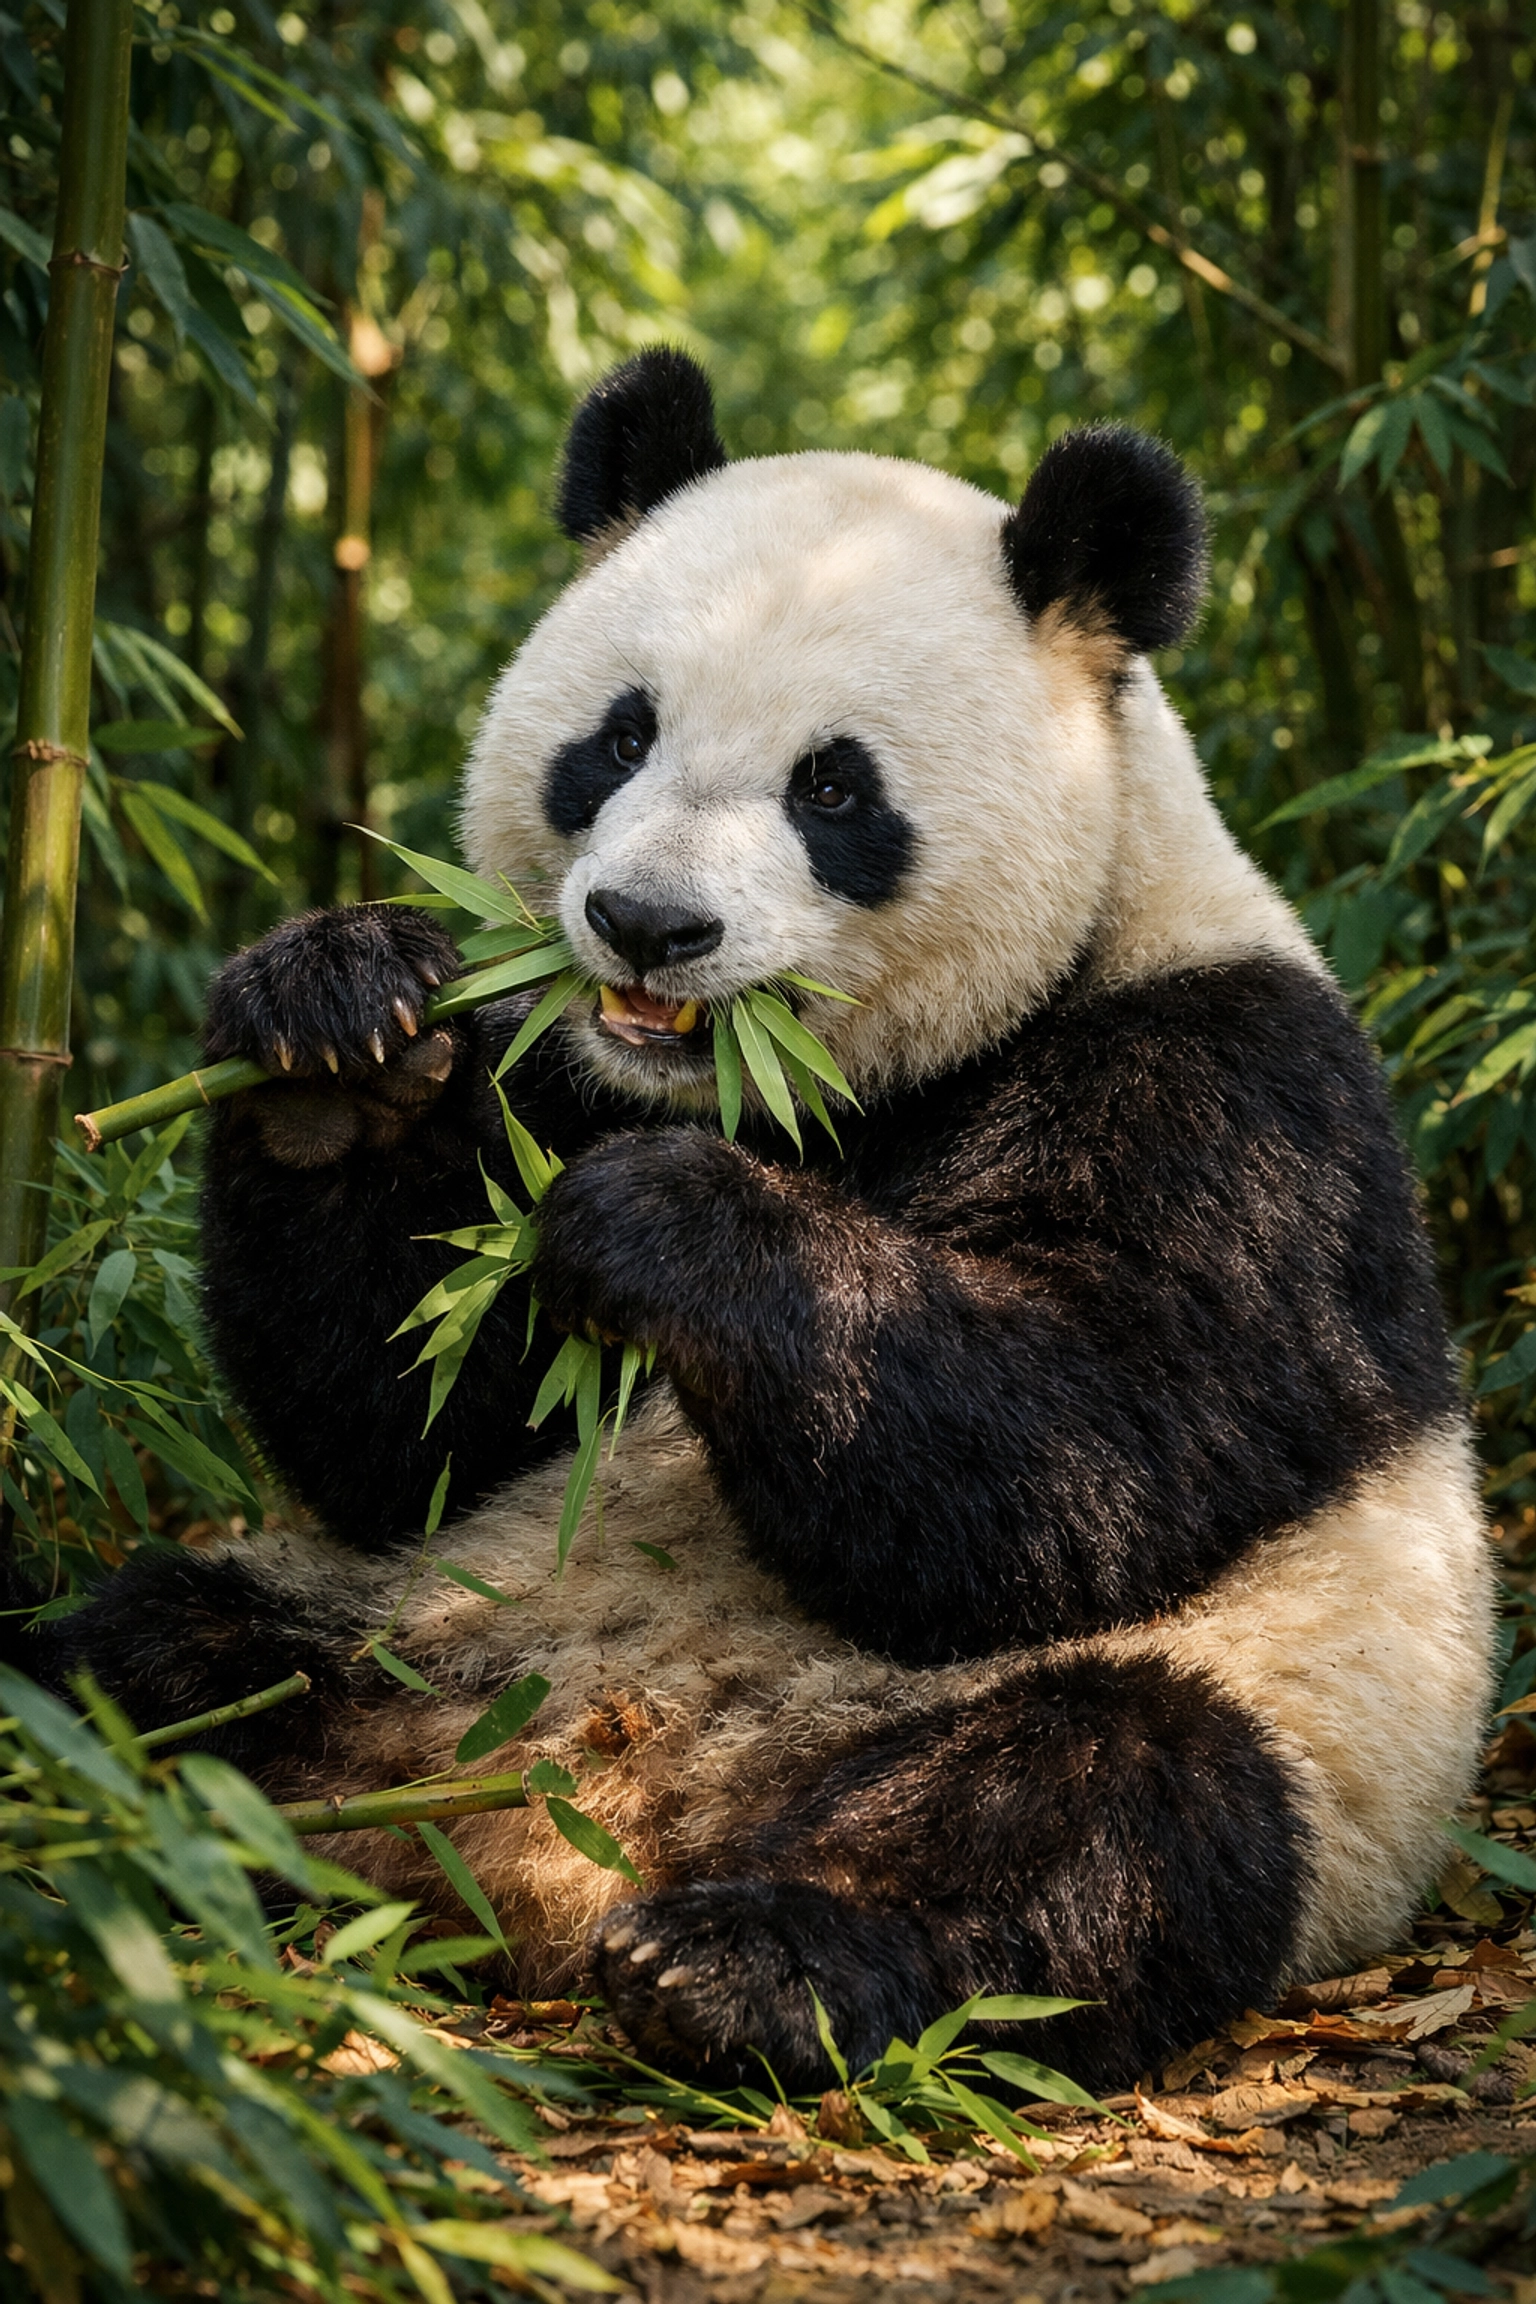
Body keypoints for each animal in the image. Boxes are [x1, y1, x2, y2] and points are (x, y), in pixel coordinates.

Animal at [31, 349, 1492, 2096]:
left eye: (833, 786)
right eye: (618, 736)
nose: (648, 926)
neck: (792, 1099)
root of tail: (573, 1821)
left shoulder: (1233, 1093)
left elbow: (1093, 1451)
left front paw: (670, 1227)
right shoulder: (552, 1071)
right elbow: (424, 1427)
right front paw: (341, 1039)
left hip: (1279, 1723)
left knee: (1113, 1798)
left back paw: (749, 1963)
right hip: (399, 1626)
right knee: (161, 1645)